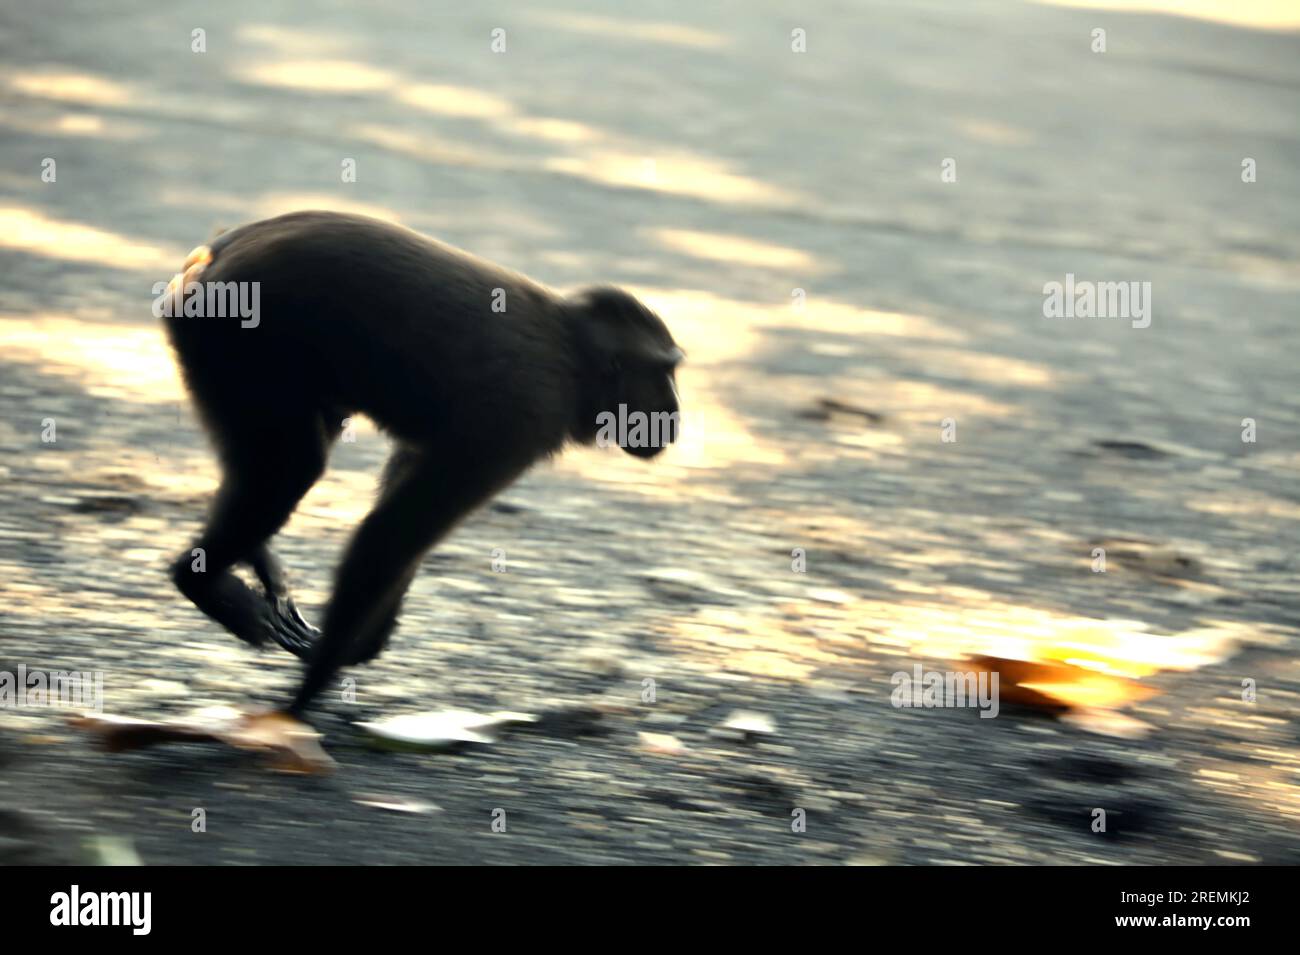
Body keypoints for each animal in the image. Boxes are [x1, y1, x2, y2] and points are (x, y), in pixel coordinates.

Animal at [165, 209, 681, 717]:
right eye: (664, 373)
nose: (675, 415)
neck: (574, 359)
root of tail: (211, 255)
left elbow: (401, 520)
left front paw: (357, 648)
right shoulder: (520, 419)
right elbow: (393, 533)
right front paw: (307, 694)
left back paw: (250, 562)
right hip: (238, 341)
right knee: (293, 468)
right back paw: (196, 577)